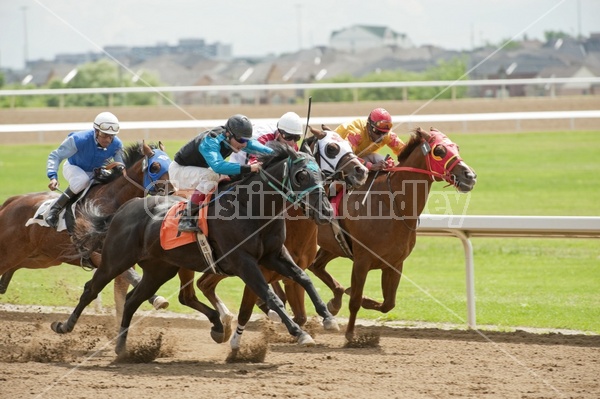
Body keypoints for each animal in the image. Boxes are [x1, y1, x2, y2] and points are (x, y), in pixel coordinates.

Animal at [0, 142, 172, 314]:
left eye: (171, 164)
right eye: (155, 166)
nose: (171, 191)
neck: (112, 201)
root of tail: (11, 201)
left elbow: (122, 296)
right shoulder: (98, 254)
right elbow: (132, 278)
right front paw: (158, 299)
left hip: (41, 258)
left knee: (12, 270)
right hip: (11, 253)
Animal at [50, 144, 342, 356]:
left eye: (321, 174)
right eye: (301, 175)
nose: (326, 212)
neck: (252, 208)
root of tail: (121, 210)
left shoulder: (274, 255)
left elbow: (303, 278)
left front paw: (328, 317)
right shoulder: (244, 262)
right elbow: (271, 297)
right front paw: (300, 332)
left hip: (160, 269)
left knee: (133, 299)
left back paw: (123, 348)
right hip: (115, 259)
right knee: (91, 288)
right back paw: (64, 326)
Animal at [310, 128, 478, 340]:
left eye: (457, 147)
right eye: (439, 150)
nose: (470, 176)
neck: (391, 203)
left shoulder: (395, 263)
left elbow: (388, 304)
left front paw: (361, 300)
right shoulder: (362, 260)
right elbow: (355, 300)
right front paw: (350, 335)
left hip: (333, 245)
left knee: (316, 266)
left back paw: (334, 302)